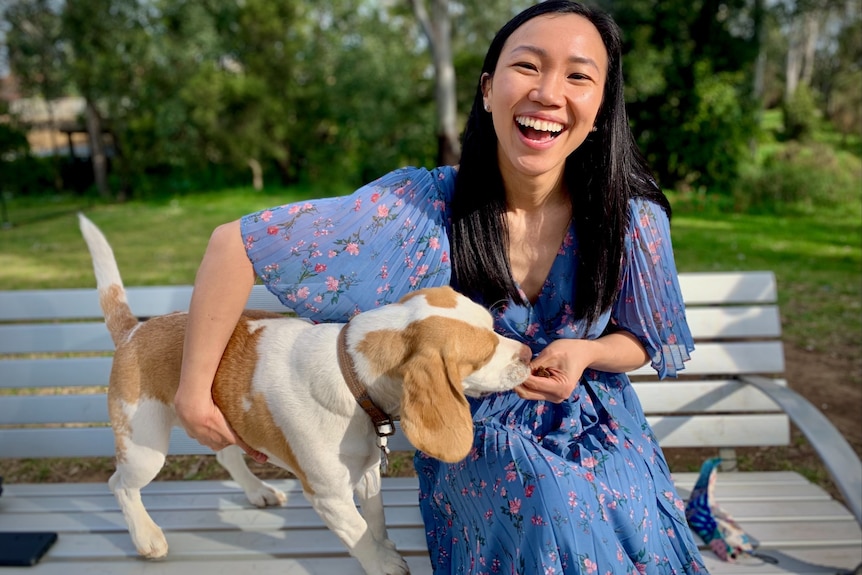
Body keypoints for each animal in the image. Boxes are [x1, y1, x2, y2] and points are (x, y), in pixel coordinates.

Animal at [79, 215, 532, 575]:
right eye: (483, 354)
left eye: (493, 325)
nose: (529, 354)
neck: (351, 377)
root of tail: (135, 330)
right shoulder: (329, 495)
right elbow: (360, 533)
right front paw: (383, 563)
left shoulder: (367, 475)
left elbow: (376, 521)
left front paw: (385, 545)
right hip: (145, 450)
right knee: (119, 484)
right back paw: (146, 537)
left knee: (226, 455)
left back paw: (257, 491)